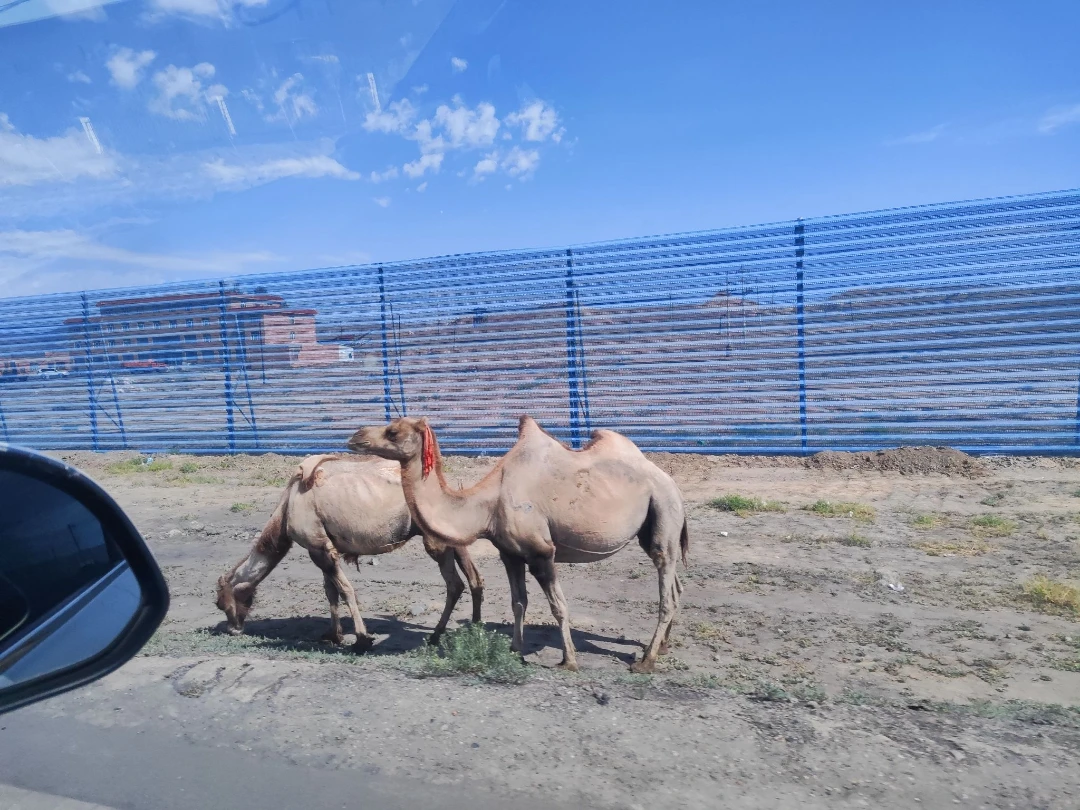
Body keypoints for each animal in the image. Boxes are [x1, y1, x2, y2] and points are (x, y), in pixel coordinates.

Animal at [214, 457, 486, 652]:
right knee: (474, 579)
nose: (232, 629)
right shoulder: (322, 546)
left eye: (221, 603)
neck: (287, 508)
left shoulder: (318, 547)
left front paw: (362, 639)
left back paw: (437, 635)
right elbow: (330, 591)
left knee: (455, 584)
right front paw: (333, 635)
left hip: (435, 538)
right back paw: (473, 628)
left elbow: (345, 590)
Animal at [349, 414, 686, 673]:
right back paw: (664, 646)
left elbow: (558, 606)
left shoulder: (541, 553)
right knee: (674, 584)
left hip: (664, 507)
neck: (486, 506)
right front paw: (516, 651)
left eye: (393, 431)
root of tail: (667, 479)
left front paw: (569, 661)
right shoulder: (510, 553)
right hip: (652, 526)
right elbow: (518, 602)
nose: (355, 436)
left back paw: (646, 661)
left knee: (665, 588)